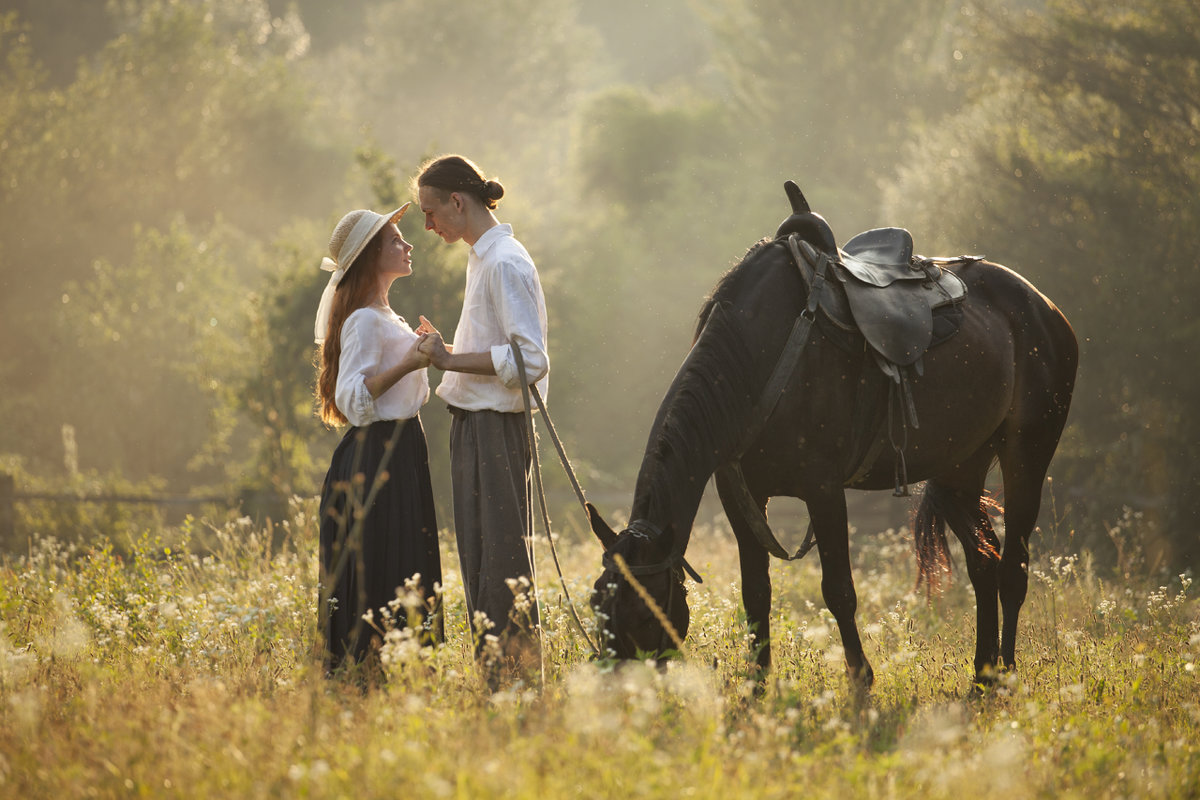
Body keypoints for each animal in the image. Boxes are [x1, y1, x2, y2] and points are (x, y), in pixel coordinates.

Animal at [590, 181, 1080, 690]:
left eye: (644, 613)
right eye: (596, 603)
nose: (618, 690)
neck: (761, 354)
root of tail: (1045, 308)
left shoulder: (823, 491)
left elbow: (839, 590)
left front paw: (861, 681)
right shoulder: (740, 496)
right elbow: (756, 593)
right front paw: (758, 686)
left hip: (1027, 455)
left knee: (1013, 571)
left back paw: (1007, 673)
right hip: (959, 469)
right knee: (983, 564)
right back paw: (983, 677)